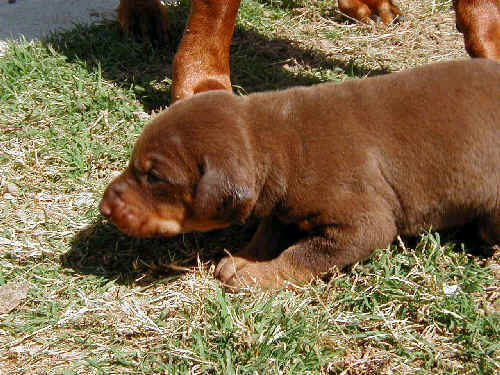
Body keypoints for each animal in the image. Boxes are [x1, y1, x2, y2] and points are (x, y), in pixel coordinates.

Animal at [99, 58, 500, 290]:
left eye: (154, 177)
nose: (103, 208)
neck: (279, 139)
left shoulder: (361, 225)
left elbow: (302, 254)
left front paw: (256, 276)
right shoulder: (282, 204)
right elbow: (268, 231)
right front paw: (244, 258)